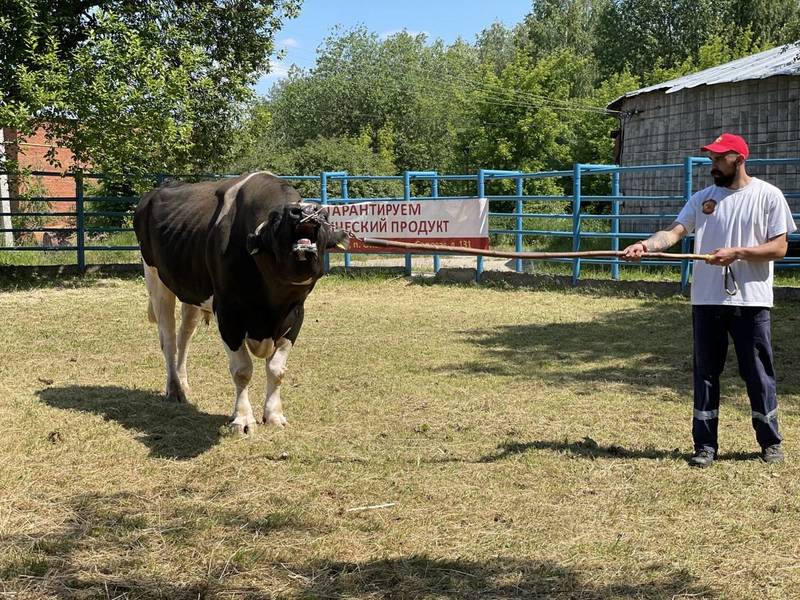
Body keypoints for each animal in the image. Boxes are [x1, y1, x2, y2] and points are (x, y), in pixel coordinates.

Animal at [134, 171, 346, 434]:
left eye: (324, 216)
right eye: (276, 218)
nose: (305, 211)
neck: (272, 304)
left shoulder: (296, 313)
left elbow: (277, 369)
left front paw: (274, 415)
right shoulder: (228, 314)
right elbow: (242, 370)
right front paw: (243, 419)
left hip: (190, 291)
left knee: (185, 336)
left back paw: (183, 383)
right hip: (156, 280)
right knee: (169, 340)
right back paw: (174, 389)